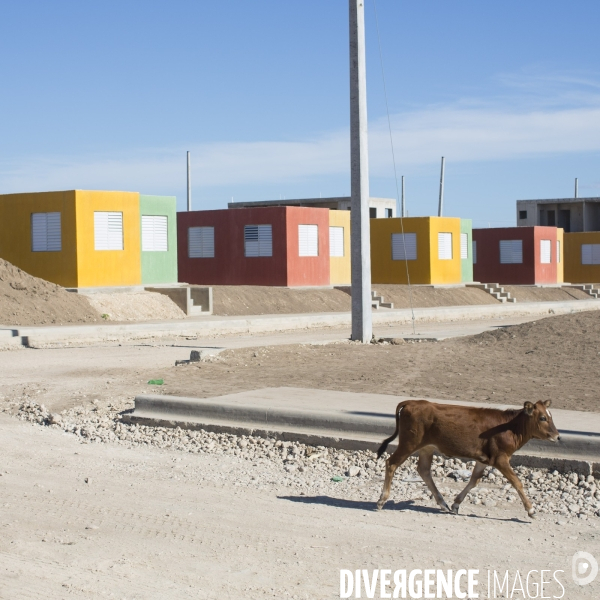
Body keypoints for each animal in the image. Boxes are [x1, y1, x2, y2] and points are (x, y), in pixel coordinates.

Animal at [378, 398, 560, 516]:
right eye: (543, 417)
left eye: (551, 416)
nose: (558, 436)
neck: (511, 428)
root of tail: (411, 402)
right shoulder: (501, 458)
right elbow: (517, 482)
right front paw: (531, 509)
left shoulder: (483, 459)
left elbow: (474, 481)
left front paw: (456, 504)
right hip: (409, 443)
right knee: (391, 463)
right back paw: (382, 500)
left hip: (426, 447)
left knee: (423, 470)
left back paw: (443, 503)